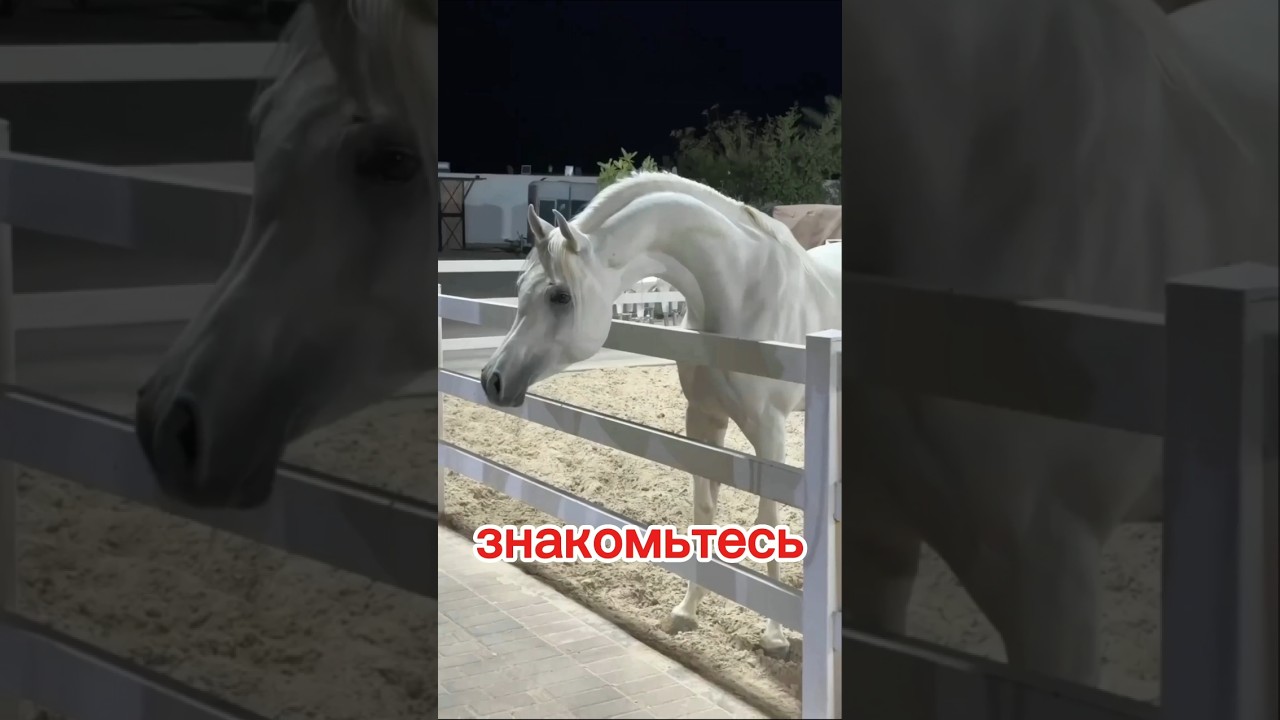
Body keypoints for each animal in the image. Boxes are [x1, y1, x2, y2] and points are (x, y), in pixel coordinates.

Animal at [478, 172, 843, 655]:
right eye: (520, 285)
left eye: (560, 296)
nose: (492, 380)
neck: (742, 292)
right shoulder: (703, 420)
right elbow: (703, 509)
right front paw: (687, 611)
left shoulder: (771, 432)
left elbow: (768, 520)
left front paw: (774, 634)